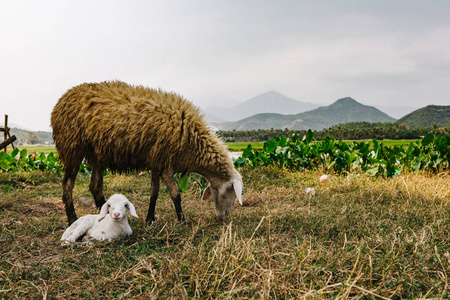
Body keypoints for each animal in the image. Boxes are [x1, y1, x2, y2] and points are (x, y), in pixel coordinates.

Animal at [51, 80, 243, 225]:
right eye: (232, 191)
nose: (224, 218)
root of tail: (61, 100)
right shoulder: (166, 160)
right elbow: (175, 193)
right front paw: (182, 221)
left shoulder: (157, 160)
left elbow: (154, 192)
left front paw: (150, 219)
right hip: (72, 148)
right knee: (67, 185)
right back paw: (72, 218)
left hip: (97, 154)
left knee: (95, 186)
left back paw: (103, 216)